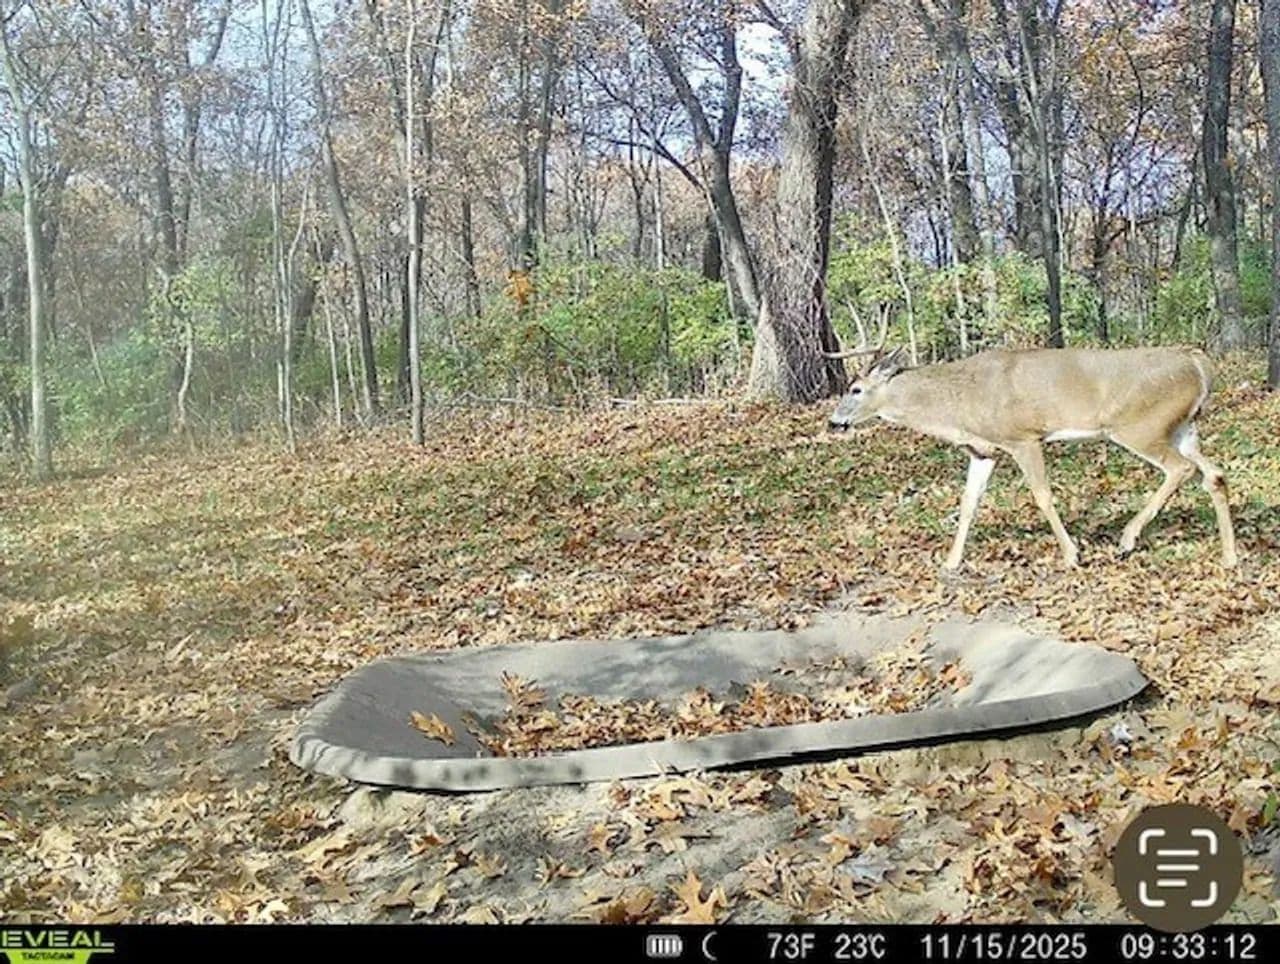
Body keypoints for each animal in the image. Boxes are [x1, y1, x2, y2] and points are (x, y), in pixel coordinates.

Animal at [826, 336, 1239, 571]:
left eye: (856, 389)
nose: (833, 421)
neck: (960, 404)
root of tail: (1198, 362)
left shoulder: (1023, 438)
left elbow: (1042, 496)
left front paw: (1072, 555)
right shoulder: (983, 451)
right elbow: (968, 503)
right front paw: (951, 563)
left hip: (1140, 426)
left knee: (1180, 470)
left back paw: (1127, 540)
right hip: (1183, 427)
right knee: (1214, 473)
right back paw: (1230, 557)